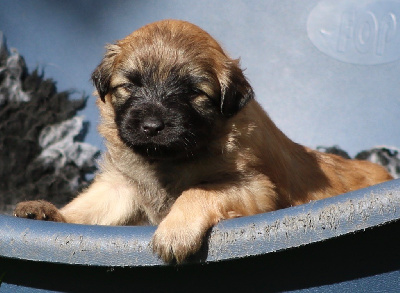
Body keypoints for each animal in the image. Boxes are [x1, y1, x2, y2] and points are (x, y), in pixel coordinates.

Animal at [13, 20, 394, 262]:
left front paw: (175, 230)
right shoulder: (123, 186)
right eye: (130, 86)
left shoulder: (256, 188)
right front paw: (48, 212)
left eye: (194, 93)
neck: (168, 159)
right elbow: (89, 208)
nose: (152, 126)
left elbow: (199, 190)